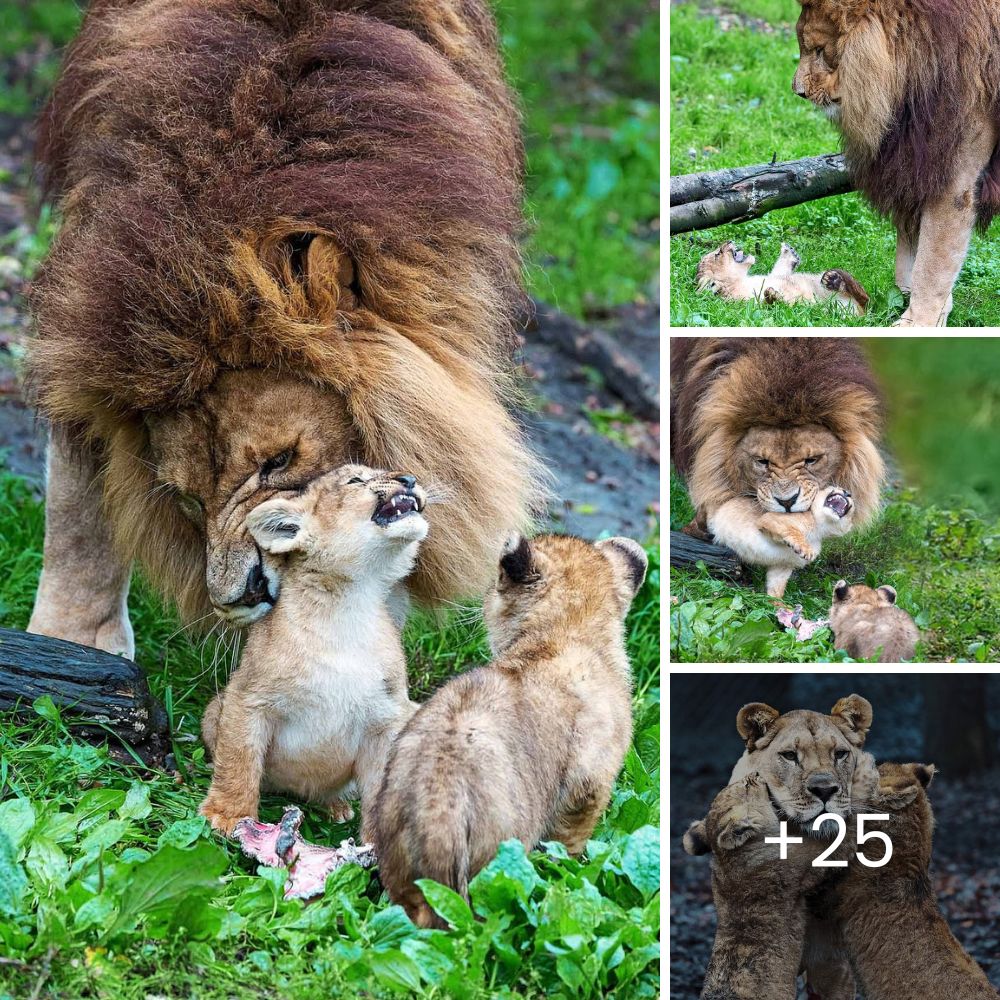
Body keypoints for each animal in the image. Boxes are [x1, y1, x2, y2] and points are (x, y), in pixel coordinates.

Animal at [21, 0, 548, 656]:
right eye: (190, 500)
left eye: (279, 461)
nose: (241, 596)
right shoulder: (83, 329)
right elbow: (76, 508)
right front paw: (70, 643)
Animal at [668, 340, 888, 596]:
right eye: (762, 461)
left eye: (811, 460)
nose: (786, 502)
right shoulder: (769, 520)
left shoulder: (781, 567)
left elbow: (776, 586)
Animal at [792, 0, 1000, 326]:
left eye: (819, 50)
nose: (798, 91)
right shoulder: (916, 164)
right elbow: (910, 256)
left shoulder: (952, 180)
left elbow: (931, 265)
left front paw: (917, 322)